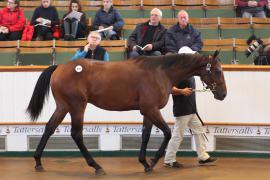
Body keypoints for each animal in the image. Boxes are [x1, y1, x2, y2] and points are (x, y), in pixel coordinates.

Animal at [26, 51, 226, 176]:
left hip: (63, 106)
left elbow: (145, 135)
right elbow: (167, 133)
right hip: (77, 107)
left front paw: (145, 163)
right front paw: (153, 161)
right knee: (76, 134)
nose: (223, 94)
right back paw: (96, 166)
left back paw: (38, 161)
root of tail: (59, 67)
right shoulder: (151, 109)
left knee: (49, 128)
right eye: (217, 70)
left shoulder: (148, 111)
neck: (160, 72)